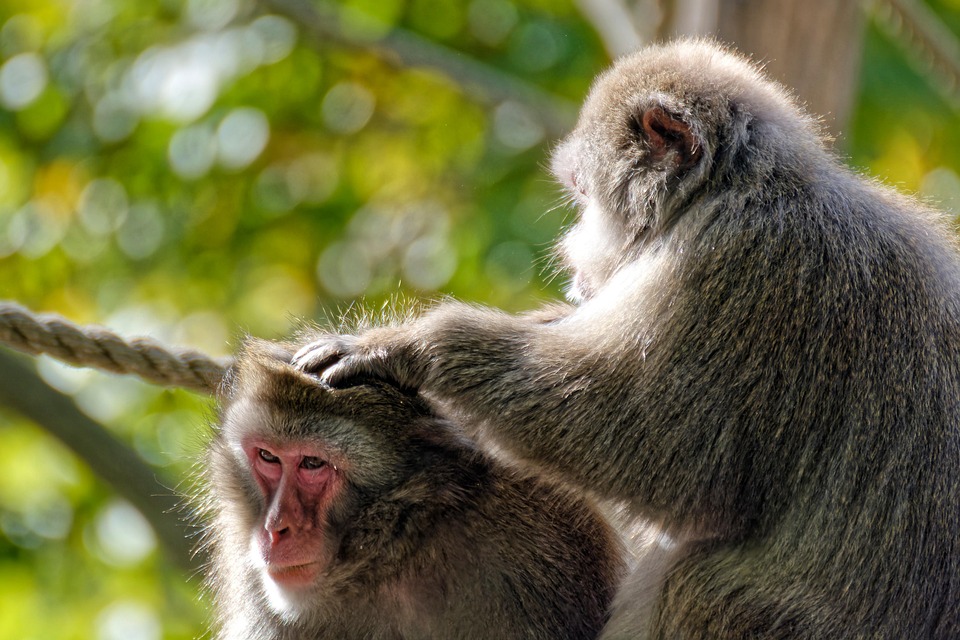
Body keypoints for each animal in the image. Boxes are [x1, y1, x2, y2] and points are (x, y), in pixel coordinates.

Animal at [292, 39, 960, 638]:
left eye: (584, 194)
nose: (569, 250)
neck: (739, 189)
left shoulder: (738, 269)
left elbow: (654, 447)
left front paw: (416, 348)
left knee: (697, 584)